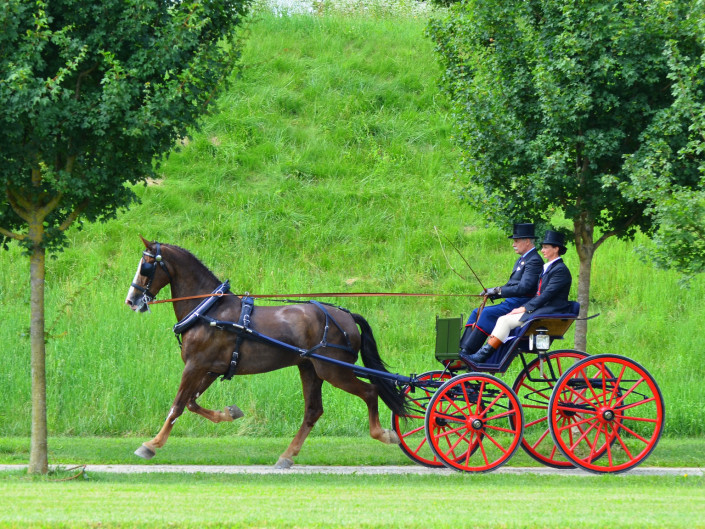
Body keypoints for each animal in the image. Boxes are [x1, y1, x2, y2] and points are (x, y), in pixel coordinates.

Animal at [124, 238, 404, 466]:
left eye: (146, 266)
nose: (131, 300)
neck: (209, 310)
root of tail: (347, 316)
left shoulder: (195, 365)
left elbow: (178, 406)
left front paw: (151, 445)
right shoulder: (209, 369)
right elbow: (192, 403)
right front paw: (230, 413)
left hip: (334, 370)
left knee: (370, 391)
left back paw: (382, 433)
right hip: (310, 368)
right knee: (313, 411)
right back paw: (287, 456)